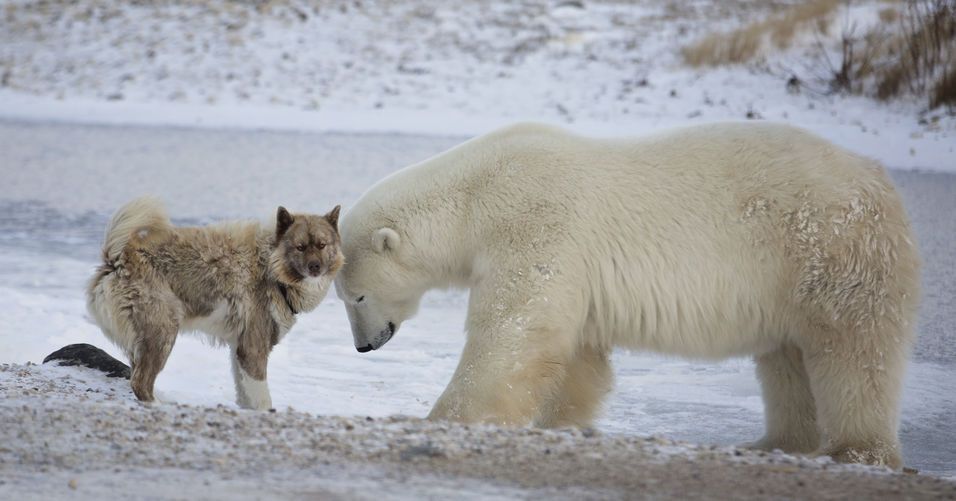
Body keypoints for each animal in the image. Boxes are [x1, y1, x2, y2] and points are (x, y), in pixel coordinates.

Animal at [84, 197, 342, 408]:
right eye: (300, 247)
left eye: (322, 245)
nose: (315, 267)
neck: (270, 265)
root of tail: (118, 259)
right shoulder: (253, 349)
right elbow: (262, 398)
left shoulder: (239, 349)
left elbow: (246, 394)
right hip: (162, 333)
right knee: (140, 382)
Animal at [334, 123, 920, 466]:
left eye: (355, 297)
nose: (363, 346)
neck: (476, 194)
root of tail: (881, 180)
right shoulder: (573, 268)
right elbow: (576, 354)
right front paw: (561, 423)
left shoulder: (536, 222)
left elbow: (514, 331)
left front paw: (445, 417)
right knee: (787, 360)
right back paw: (774, 442)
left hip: (827, 250)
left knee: (852, 351)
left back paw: (854, 450)